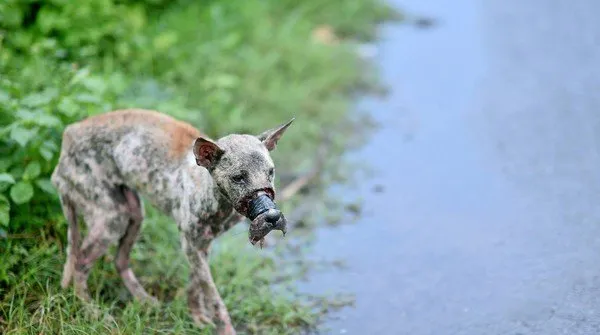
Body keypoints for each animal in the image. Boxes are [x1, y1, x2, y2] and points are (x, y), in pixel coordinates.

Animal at [50, 109, 294, 334]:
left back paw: (144, 300)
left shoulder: (201, 246)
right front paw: (224, 328)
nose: (272, 216)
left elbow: (195, 285)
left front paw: (197, 317)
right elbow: (214, 298)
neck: (213, 195)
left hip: (134, 214)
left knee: (119, 261)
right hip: (111, 219)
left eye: (271, 172)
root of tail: (68, 134)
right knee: (80, 263)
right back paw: (92, 311)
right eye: (238, 177)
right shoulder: (191, 245)